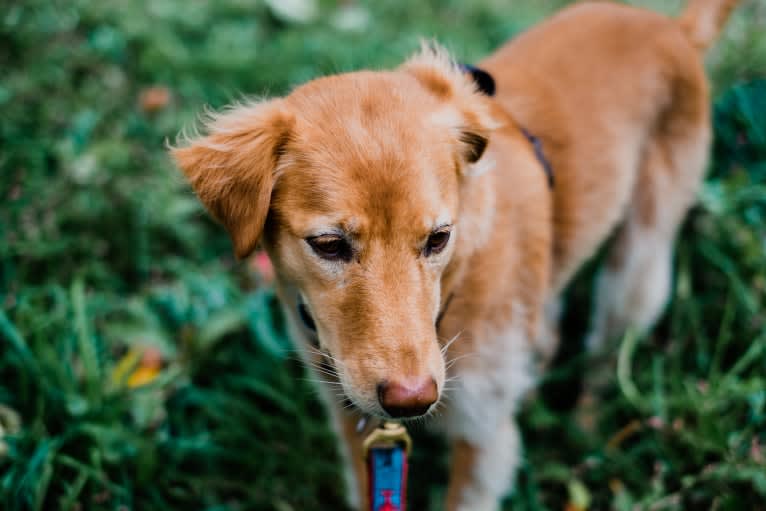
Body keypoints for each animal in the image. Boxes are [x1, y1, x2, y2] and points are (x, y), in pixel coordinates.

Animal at [172, 2, 736, 510]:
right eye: (329, 245)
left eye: (438, 238)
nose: (413, 399)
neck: (454, 294)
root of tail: (671, 27)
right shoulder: (355, 426)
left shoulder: (484, 437)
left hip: (637, 270)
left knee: (603, 357)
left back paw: (585, 428)